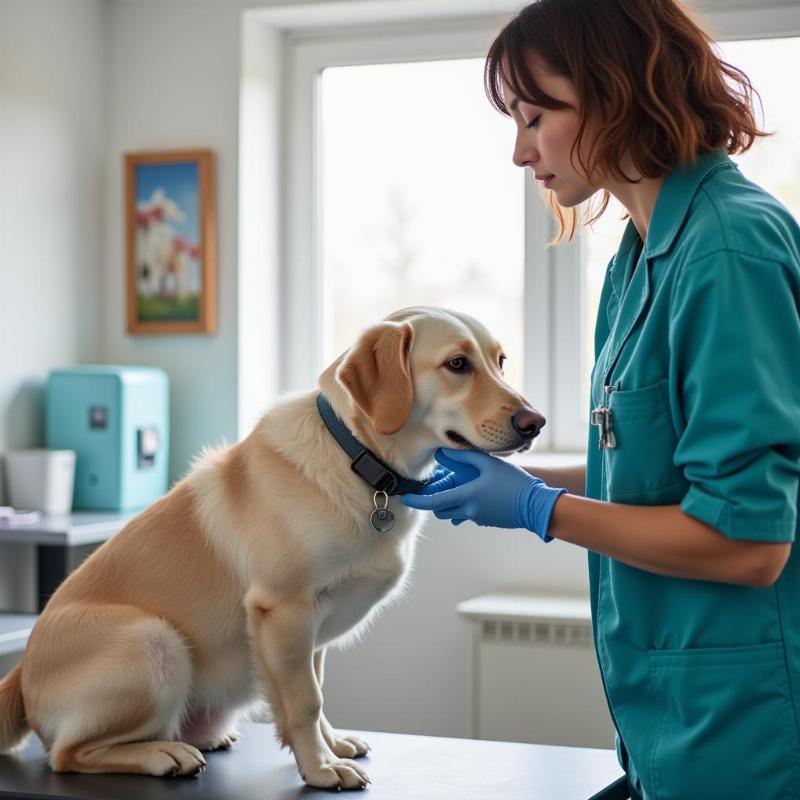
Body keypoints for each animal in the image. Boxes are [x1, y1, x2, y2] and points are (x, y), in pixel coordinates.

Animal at [0, 304, 544, 788]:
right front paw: (321, 769)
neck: (359, 462)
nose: (535, 423)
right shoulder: (284, 610)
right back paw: (163, 754)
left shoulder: (313, 632)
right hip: (154, 641)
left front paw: (332, 746)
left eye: (500, 361)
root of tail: (20, 673)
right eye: (457, 364)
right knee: (67, 754)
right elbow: (304, 701)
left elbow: (316, 692)